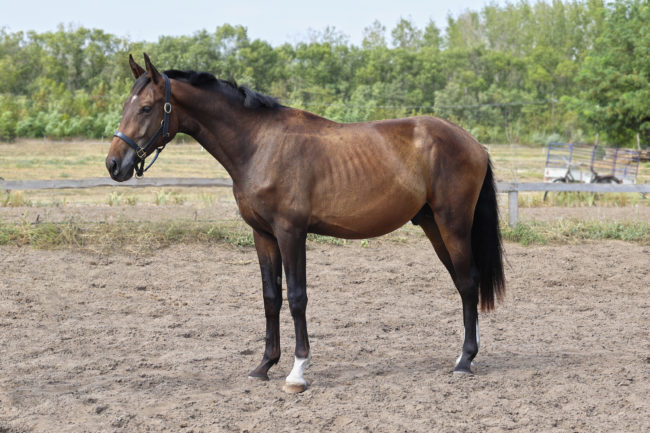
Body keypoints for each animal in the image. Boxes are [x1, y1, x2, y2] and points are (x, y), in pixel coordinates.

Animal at [106, 53, 504, 392]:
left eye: (146, 108)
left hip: (452, 223)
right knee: (463, 283)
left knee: (467, 282)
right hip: (433, 225)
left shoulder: (291, 233)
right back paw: (469, 352)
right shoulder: (263, 235)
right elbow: (271, 297)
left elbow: (297, 297)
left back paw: (464, 361)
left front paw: (297, 372)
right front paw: (264, 365)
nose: (113, 164)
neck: (260, 144)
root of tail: (473, 144)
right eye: (126, 105)